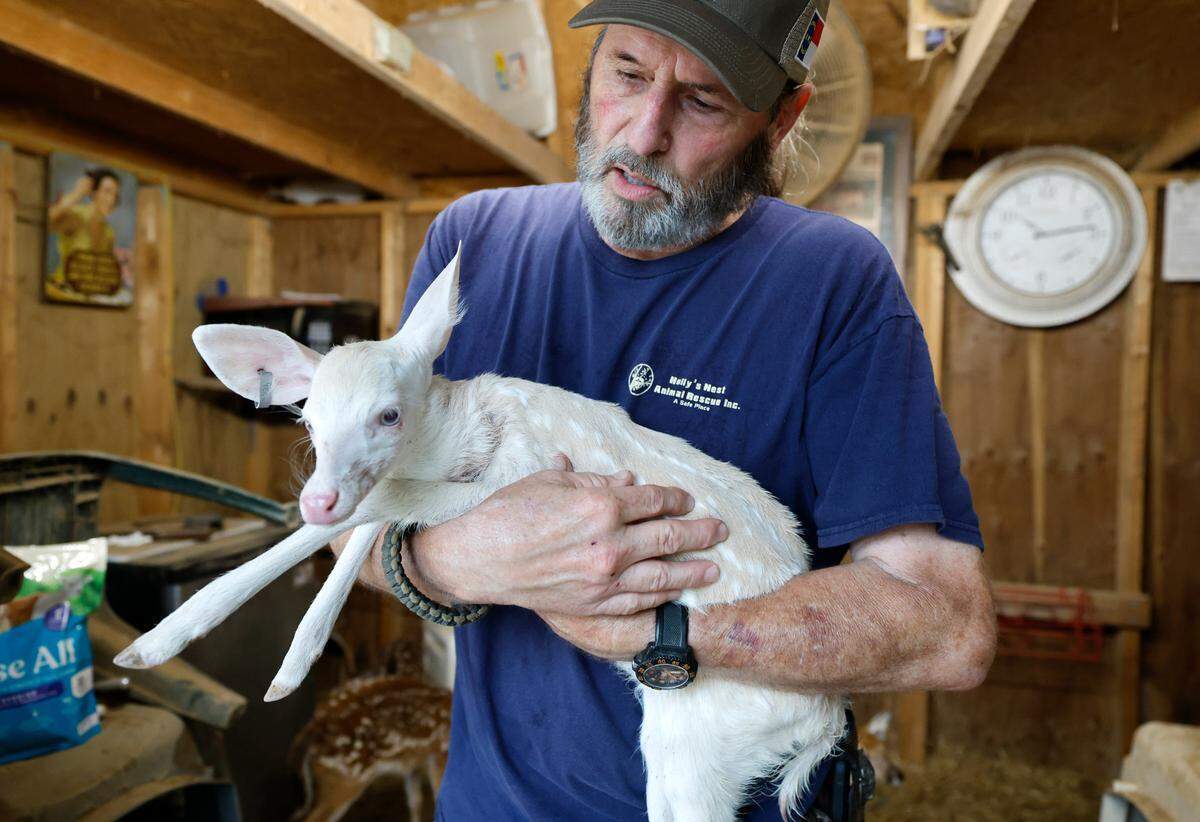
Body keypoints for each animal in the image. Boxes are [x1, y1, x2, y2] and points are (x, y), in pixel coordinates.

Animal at [114, 246, 847, 821]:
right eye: (309, 420)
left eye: (388, 414)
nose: (317, 496)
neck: (460, 441)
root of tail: (823, 720)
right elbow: (372, 519)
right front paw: (253, 661)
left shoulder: (522, 477)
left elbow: (383, 502)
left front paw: (172, 642)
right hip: (679, 737)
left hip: (703, 743)